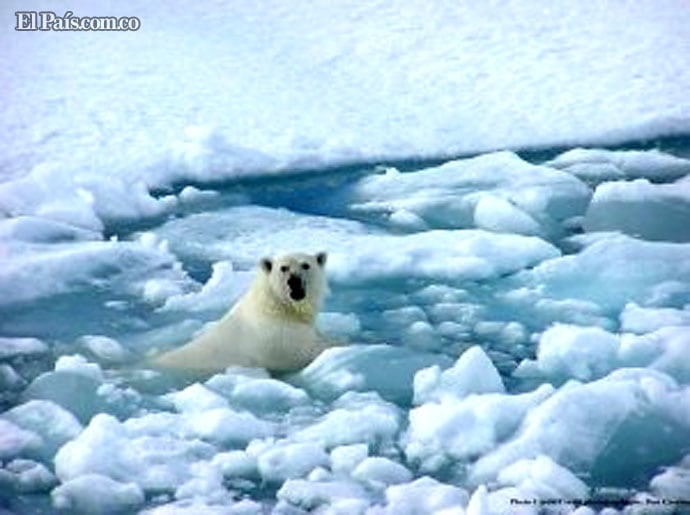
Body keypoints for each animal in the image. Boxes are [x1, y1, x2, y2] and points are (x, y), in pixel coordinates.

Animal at [153, 252, 331, 373]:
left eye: (305, 265)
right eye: (283, 268)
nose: (294, 281)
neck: (278, 306)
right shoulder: (278, 337)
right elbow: (305, 351)